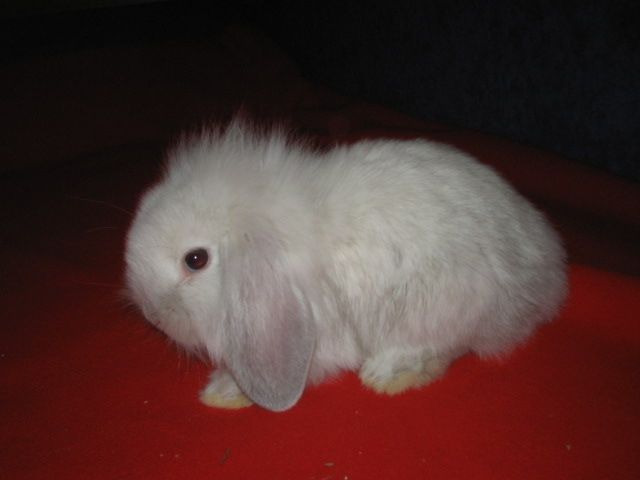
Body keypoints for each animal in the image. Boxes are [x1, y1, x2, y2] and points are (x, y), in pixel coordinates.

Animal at [125, 119, 567, 412]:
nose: (152, 315)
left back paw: (387, 375)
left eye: (195, 260)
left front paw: (224, 391)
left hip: (443, 304)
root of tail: (548, 265)